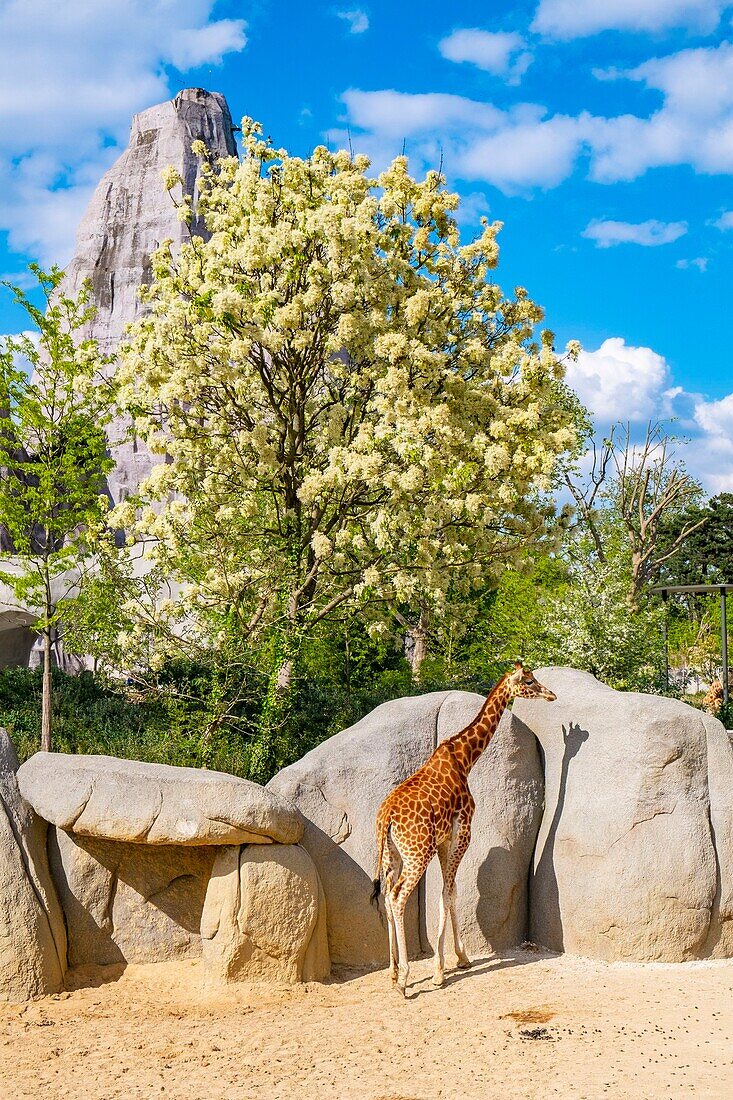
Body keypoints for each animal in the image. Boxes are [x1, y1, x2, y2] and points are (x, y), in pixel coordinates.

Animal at [372, 660, 554, 998]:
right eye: (528, 680)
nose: (551, 695)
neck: (465, 759)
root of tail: (386, 817)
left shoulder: (445, 840)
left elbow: (450, 893)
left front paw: (458, 959)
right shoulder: (462, 834)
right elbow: (448, 893)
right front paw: (440, 970)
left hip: (392, 854)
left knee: (387, 896)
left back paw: (391, 973)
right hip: (417, 853)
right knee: (399, 897)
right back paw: (404, 980)